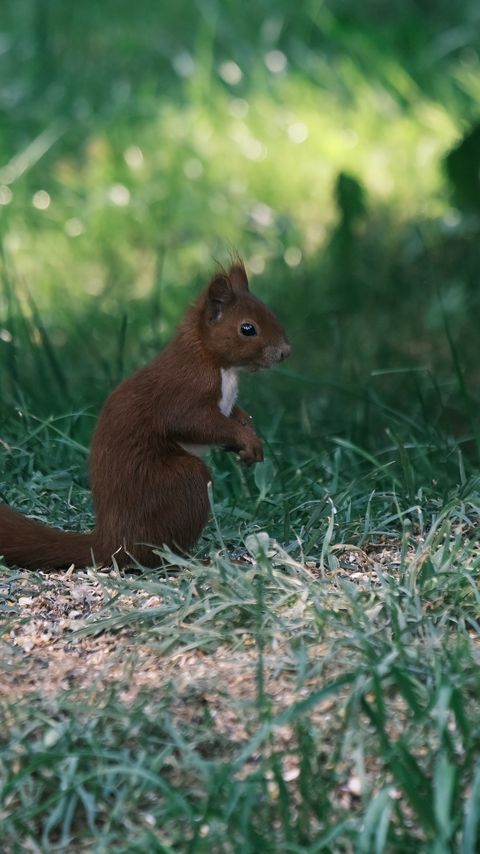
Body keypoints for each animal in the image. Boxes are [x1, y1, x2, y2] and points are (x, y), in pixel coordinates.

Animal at [0, 260, 288, 568]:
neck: (215, 362)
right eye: (248, 328)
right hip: (181, 482)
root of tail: (114, 541)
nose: (286, 352)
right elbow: (197, 423)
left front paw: (248, 436)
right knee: (155, 553)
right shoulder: (184, 393)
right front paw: (246, 439)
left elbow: (235, 414)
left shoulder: (225, 402)